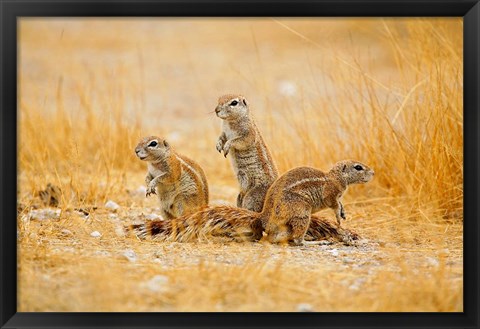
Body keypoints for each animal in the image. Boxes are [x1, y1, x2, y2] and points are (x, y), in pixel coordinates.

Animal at [133, 160, 374, 245]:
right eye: (358, 167)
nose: (372, 173)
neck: (336, 176)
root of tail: (263, 216)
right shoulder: (332, 193)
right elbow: (334, 204)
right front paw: (339, 214)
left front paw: (343, 213)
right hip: (301, 213)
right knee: (295, 240)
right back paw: (313, 242)